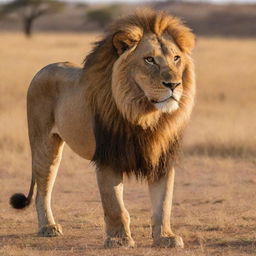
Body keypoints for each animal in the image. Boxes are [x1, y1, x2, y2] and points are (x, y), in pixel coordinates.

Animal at [9, 9, 195, 248]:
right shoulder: (109, 158)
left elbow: (163, 204)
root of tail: (43, 69)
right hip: (44, 145)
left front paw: (166, 237)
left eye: (176, 58)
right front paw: (119, 240)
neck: (144, 115)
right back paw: (48, 227)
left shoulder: (162, 158)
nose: (174, 85)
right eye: (149, 59)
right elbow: (114, 205)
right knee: (43, 190)